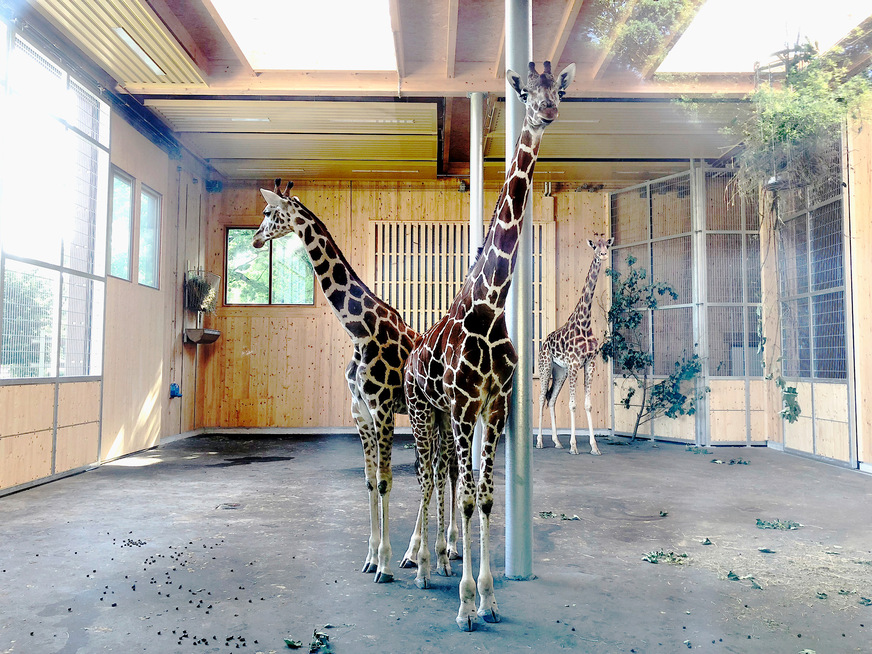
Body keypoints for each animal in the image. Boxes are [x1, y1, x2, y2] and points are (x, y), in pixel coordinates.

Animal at [252, 181, 456, 588]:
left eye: (268, 213)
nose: (254, 239)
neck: (360, 332)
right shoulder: (360, 413)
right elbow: (369, 481)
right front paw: (370, 557)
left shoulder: (382, 411)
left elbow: (385, 480)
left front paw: (384, 565)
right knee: (435, 471)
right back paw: (419, 553)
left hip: (437, 416)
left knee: (443, 472)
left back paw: (440, 552)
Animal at [406, 62, 576, 636]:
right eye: (524, 90)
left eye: (559, 88)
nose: (547, 112)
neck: (490, 302)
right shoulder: (463, 404)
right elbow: (463, 496)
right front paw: (463, 606)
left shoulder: (494, 404)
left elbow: (482, 495)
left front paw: (488, 599)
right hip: (422, 412)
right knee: (426, 478)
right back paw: (416, 564)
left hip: (441, 417)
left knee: (440, 477)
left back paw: (435, 559)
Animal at [536, 234, 616, 456]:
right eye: (595, 246)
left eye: (606, 245)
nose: (603, 254)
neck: (585, 323)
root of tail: (542, 344)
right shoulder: (573, 364)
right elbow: (572, 404)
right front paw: (573, 446)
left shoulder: (589, 363)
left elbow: (587, 405)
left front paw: (594, 447)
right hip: (546, 366)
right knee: (541, 398)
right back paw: (539, 441)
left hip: (560, 371)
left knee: (551, 399)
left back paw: (556, 441)